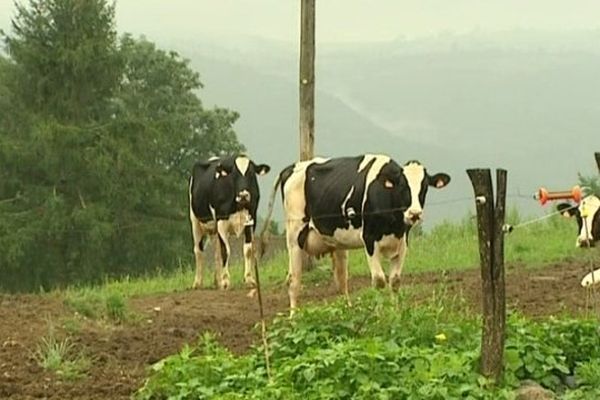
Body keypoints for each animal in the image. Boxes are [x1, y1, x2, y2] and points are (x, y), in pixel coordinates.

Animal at [189, 155, 270, 290]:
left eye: (251, 173)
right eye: (234, 174)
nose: (243, 195)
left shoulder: (251, 220)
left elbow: (248, 250)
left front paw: (249, 279)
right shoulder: (221, 222)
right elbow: (225, 251)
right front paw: (226, 281)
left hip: (214, 229)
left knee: (216, 253)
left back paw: (218, 281)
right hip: (195, 221)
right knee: (199, 251)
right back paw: (198, 282)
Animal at [262, 155, 450, 310]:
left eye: (424, 187)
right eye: (403, 186)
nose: (415, 213)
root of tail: (293, 167)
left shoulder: (403, 242)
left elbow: (395, 281)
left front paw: (394, 312)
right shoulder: (370, 240)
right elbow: (379, 280)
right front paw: (378, 314)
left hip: (336, 242)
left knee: (341, 280)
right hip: (295, 237)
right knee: (294, 280)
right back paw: (294, 318)